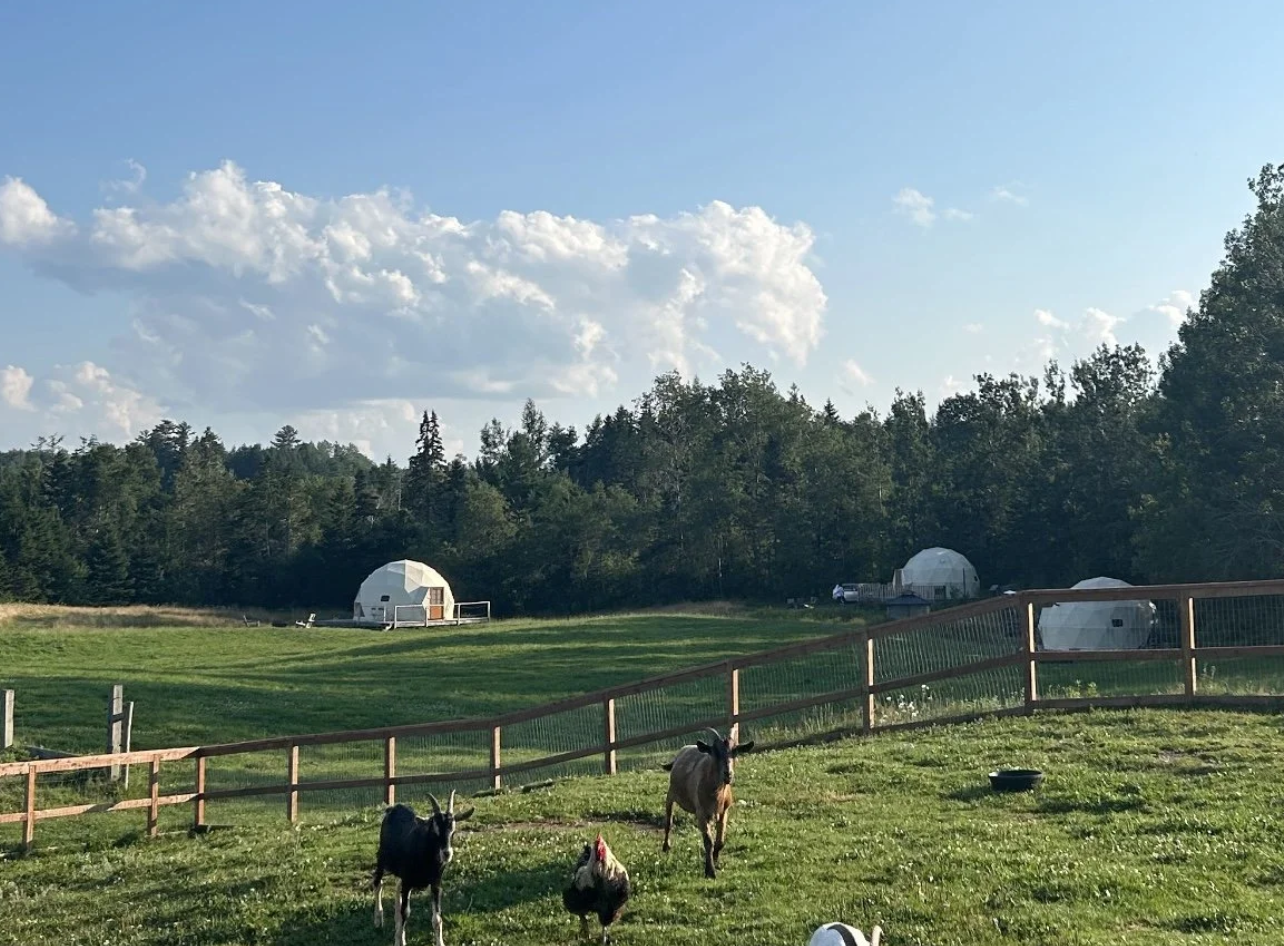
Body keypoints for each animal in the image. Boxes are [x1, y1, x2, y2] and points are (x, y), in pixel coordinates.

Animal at [372, 791, 475, 946]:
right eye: (435, 829)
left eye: (453, 831)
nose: (447, 853)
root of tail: (393, 809)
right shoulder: (408, 882)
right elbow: (405, 913)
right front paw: (399, 940)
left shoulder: (435, 884)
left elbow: (437, 919)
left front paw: (440, 942)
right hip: (382, 858)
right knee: (378, 883)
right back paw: (378, 920)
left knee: (396, 888)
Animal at [660, 726, 754, 878]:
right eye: (714, 753)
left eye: (735, 752)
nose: (728, 774)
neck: (716, 794)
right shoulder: (702, 812)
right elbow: (708, 841)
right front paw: (710, 871)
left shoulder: (724, 812)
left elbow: (720, 841)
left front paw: (716, 861)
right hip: (671, 795)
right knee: (669, 821)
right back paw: (666, 847)